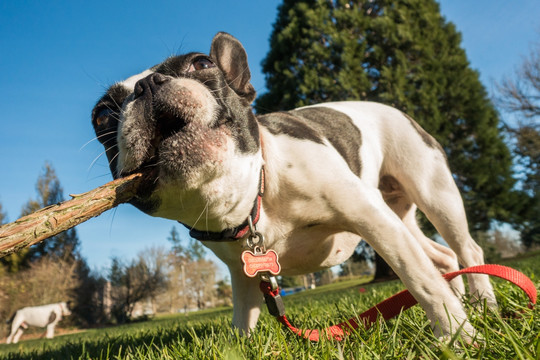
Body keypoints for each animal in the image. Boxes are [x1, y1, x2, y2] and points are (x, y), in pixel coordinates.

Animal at [90, 32, 496, 338]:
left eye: (201, 63)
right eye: (102, 115)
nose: (147, 84)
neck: (253, 200)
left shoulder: (373, 220)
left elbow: (421, 281)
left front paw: (457, 338)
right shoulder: (242, 275)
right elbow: (243, 319)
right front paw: (241, 345)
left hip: (433, 192)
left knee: (466, 249)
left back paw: (482, 305)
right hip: (401, 217)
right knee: (443, 257)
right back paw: (464, 297)